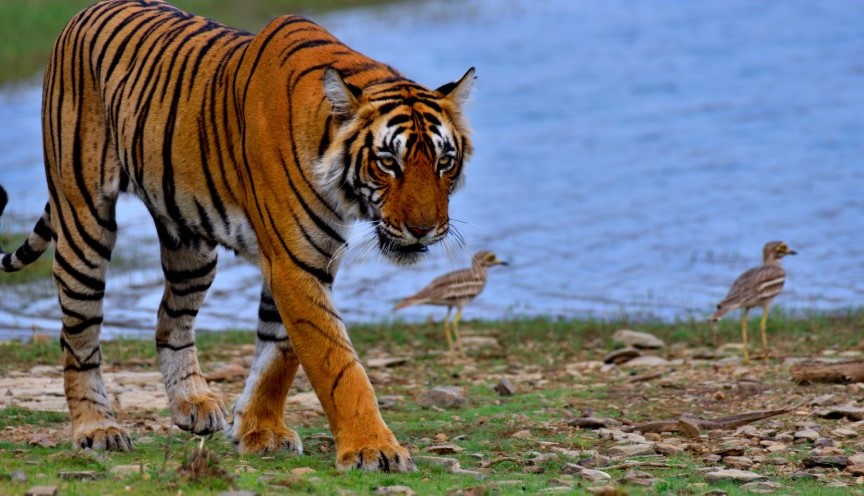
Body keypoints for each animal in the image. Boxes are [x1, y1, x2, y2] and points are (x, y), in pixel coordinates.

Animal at [0, 0, 474, 472]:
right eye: (388, 162)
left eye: (445, 162)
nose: (423, 229)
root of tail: (83, 13)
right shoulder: (294, 263)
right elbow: (336, 362)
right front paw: (372, 448)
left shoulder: (302, 259)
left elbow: (278, 354)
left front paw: (259, 431)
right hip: (83, 222)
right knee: (78, 335)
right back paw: (97, 429)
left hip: (191, 248)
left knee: (169, 318)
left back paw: (191, 403)